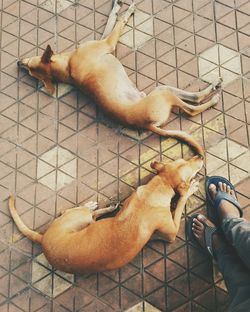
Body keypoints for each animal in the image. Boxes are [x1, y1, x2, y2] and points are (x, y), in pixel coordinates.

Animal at [9, 156, 203, 272]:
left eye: (183, 158)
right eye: (188, 165)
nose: (200, 156)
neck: (157, 187)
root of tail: (43, 239)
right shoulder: (171, 233)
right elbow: (180, 203)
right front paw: (190, 189)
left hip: (84, 220)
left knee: (85, 215)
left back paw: (106, 207)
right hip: (81, 217)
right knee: (78, 212)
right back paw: (92, 206)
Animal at [16, 1, 222, 155]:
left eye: (30, 67)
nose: (18, 63)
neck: (66, 67)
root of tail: (148, 125)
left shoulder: (103, 42)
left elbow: (110, 22)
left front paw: (117, 7)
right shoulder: (107, 43)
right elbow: (116, 22)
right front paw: (126, 10)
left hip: (161, 91)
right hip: (161, 93)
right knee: (192, 107)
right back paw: (212, 93)